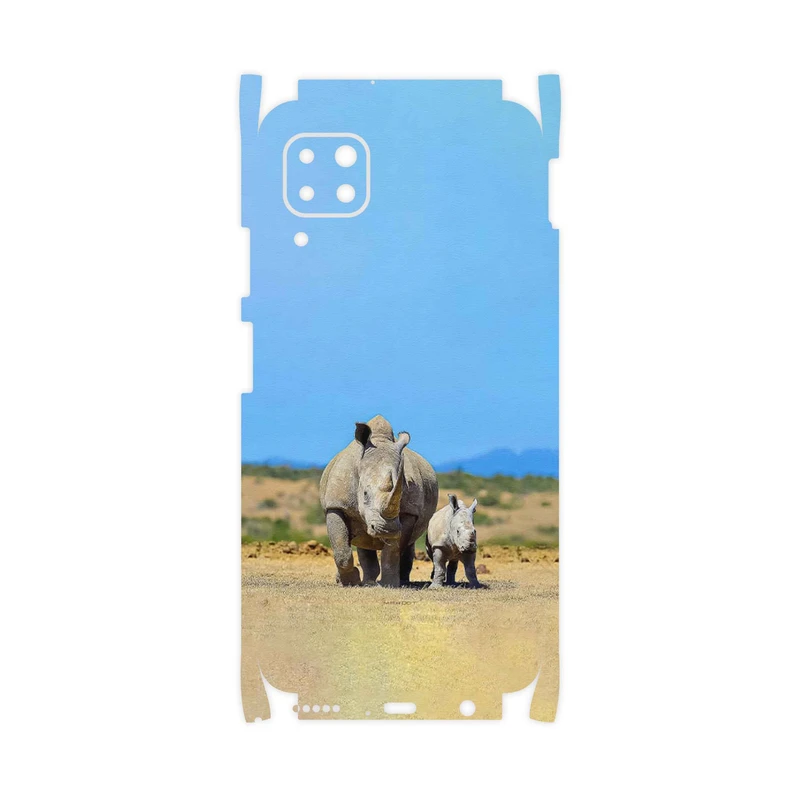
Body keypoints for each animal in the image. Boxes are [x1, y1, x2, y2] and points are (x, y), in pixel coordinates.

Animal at [319, 415, 438, 587]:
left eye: (400, 494)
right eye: (365, 494)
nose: (387, 529)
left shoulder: (408, 512)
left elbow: (393, 550)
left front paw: (390, 584)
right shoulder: (336, 505)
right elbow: (341, 549)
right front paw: (350, 582)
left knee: (407, 543)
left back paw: (400, 581)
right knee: (362, 541)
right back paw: (365, 582)